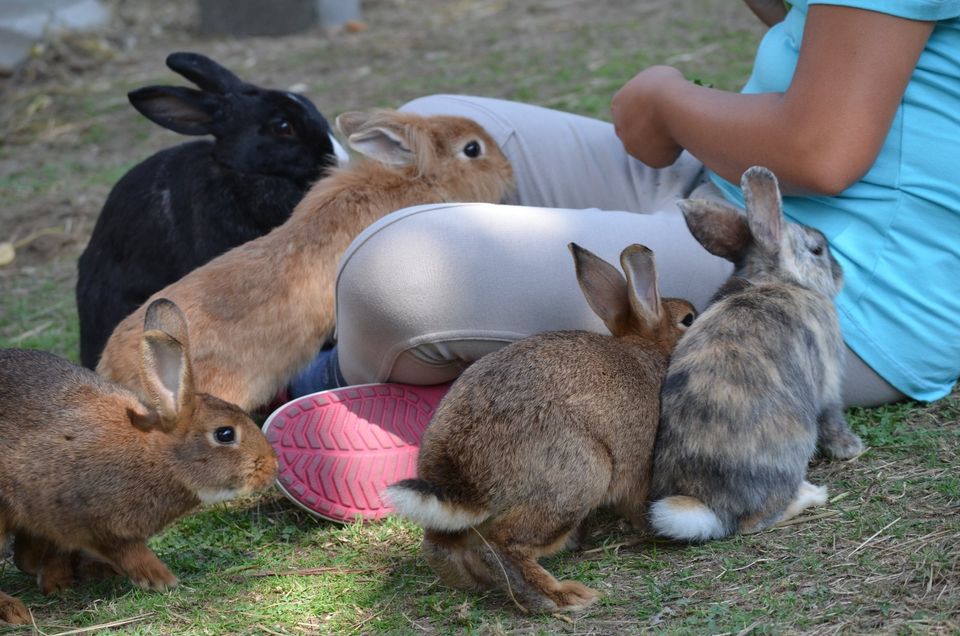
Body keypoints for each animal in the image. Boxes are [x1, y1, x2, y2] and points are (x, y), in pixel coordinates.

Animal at [0, 300, 278, 628]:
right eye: (225, 434)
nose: (272, 468)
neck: (160, 457)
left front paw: (59, 583)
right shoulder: (84, 518)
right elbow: (128, 551)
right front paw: (160, 578)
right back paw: (14, 610)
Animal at [384, 242, 696, 612]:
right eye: (688, 319)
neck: (649, 349)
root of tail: (464, 480)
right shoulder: (640, 466)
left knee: (441, 543)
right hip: (579, 478)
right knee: (501, 544)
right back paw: (564, 596)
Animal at [648, 166, 868, 544]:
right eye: (816, 249)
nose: (841, 273)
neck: (782, 280)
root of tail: (711, 508)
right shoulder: (827, 380)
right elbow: (832, 416)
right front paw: (851, 448)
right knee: (756, 521)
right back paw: (811, 495)